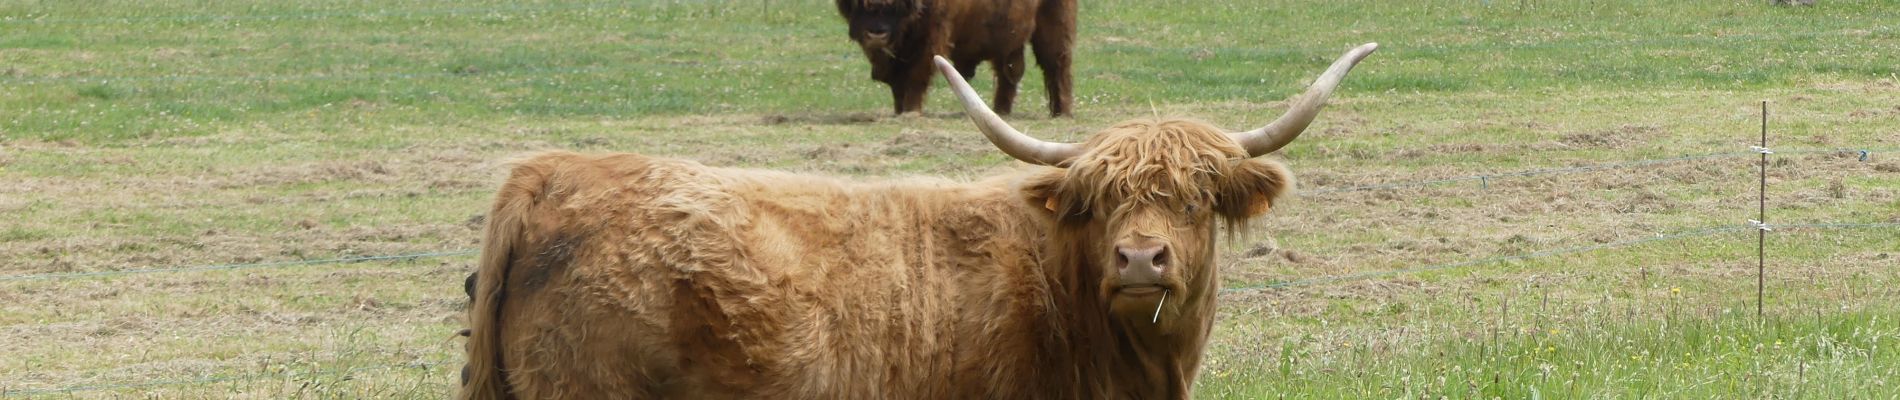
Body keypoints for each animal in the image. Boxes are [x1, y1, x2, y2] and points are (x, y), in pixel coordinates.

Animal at [839, 0, 1079, 117]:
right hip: (1008, 41)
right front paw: (899, 111)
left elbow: (916, 76)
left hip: (1054, 28)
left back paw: (1062, 113)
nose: (876, 34)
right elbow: (898, 83)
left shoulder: (932, 39)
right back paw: (1000, 112)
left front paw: (911, 112)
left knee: (1057, 67)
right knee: (1009, 74)